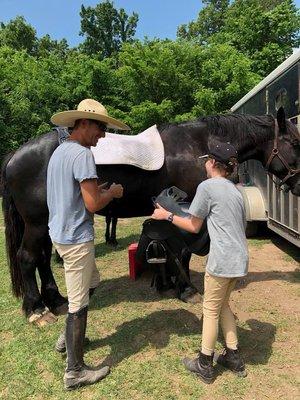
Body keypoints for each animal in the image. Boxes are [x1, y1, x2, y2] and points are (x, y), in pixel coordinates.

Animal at [2, 107, 300, 324]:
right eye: (295, 142)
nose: (299, 185)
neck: (199, 145)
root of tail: (16, 155)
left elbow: (167, 247)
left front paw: (166, 283)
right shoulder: (188, 207)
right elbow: (182, 251)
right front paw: (187, 290)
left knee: (42, 259)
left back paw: (56, 301)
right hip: (37, 222)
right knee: (28, 258)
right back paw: (37, 310)